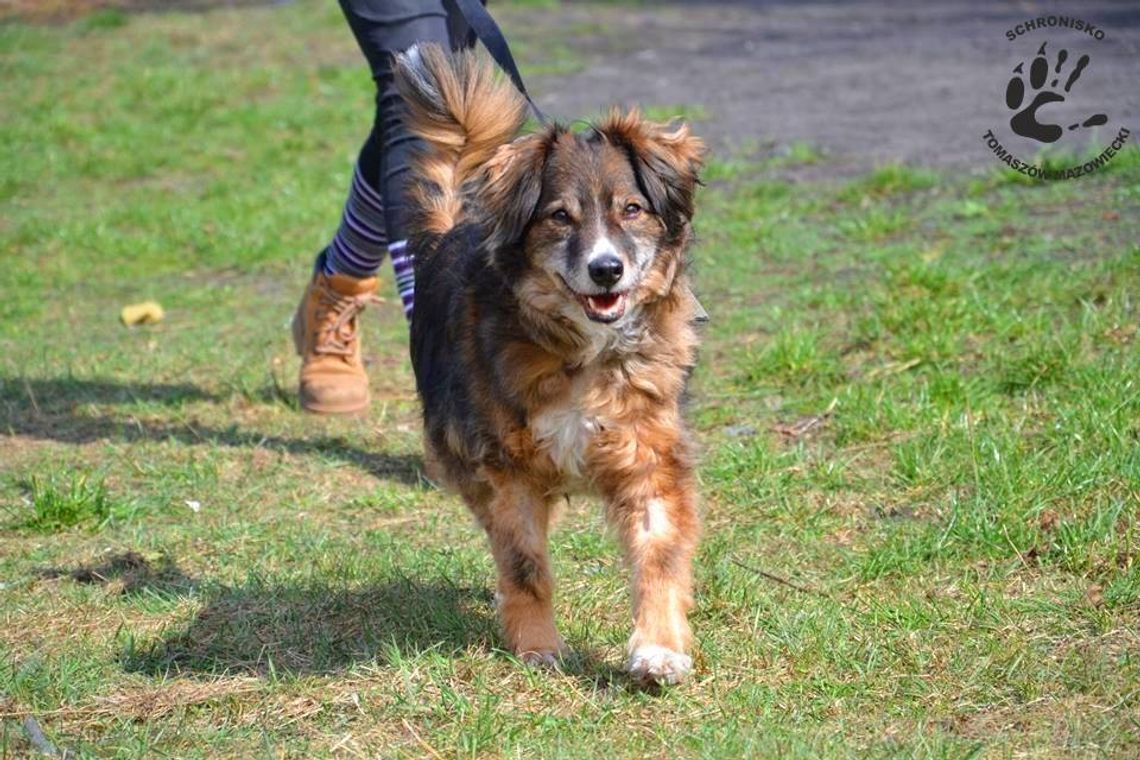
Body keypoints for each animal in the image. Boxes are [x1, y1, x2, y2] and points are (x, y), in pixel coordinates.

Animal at [399, 44, 702, 688]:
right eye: (560, 216)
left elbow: (659, 553)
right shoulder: (507, 467)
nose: (607, 269)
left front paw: (658, 649)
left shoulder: (649, 454)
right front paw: (537, 646)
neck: (585, 352)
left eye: (632, 209)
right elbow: (523, 563)